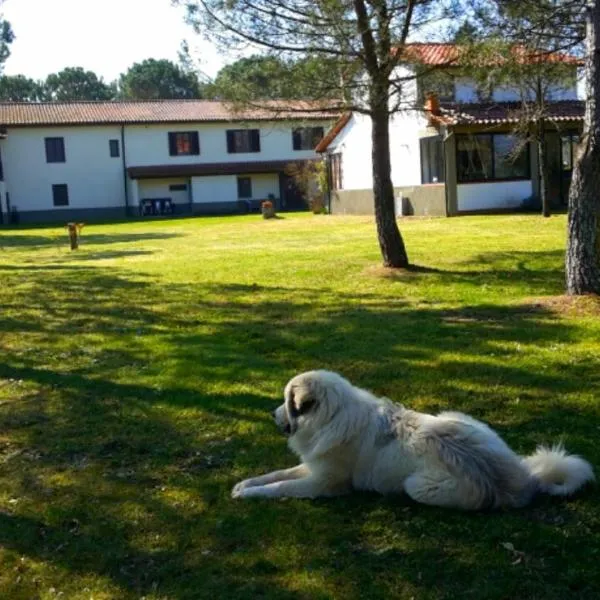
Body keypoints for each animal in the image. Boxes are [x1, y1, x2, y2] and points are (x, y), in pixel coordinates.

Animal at [232, 370, 592, 510]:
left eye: (287, 402)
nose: (271, 414)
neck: (330, 418)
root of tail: (520, 482)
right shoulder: (313, 465)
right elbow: (275, 474)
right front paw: (244, 484)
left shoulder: (323, 482)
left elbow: (281, 485)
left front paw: (250, 494)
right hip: (455, 417)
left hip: (417, 485)